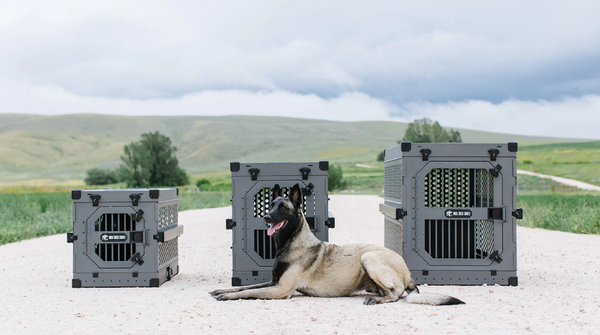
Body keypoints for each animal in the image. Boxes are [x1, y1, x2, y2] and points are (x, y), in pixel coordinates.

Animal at [210, 185, 464, 306]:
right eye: (271, 205)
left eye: (282, 207)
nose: (266, 218)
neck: (292, 243)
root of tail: (408, 272)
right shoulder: (274, 282)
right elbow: (245, 287)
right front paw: (223, 291)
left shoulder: (281, 289)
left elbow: (250, 293)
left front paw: (227, 298)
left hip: (369, 257)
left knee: (396, 294)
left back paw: (378, 299)